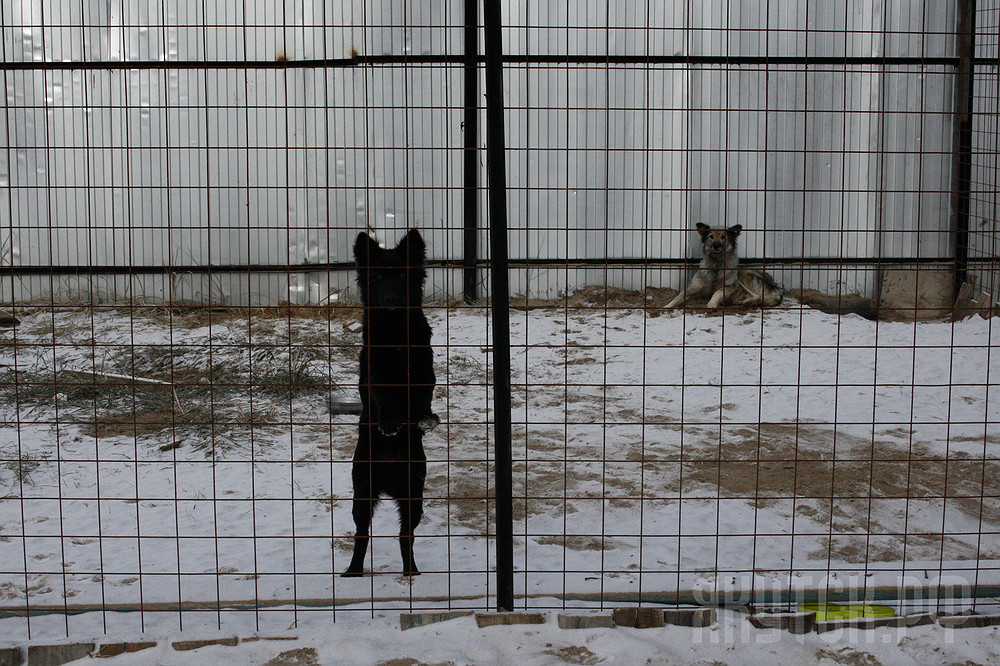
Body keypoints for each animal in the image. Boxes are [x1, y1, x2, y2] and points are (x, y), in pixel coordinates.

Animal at [344, 230, 438, 576]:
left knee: (404, 536)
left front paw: (425, 417)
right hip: (362, 493)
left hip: (414, 495)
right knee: (361, 534)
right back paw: (353, 571)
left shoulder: (424, 369)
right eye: (376, 278)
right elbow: (382, 397)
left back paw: (411, 571)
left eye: (401, 277)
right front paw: (388, 423)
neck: (396, 334)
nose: (390, 302)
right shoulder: (373, 374)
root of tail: (388, 479)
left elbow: (423, 396)